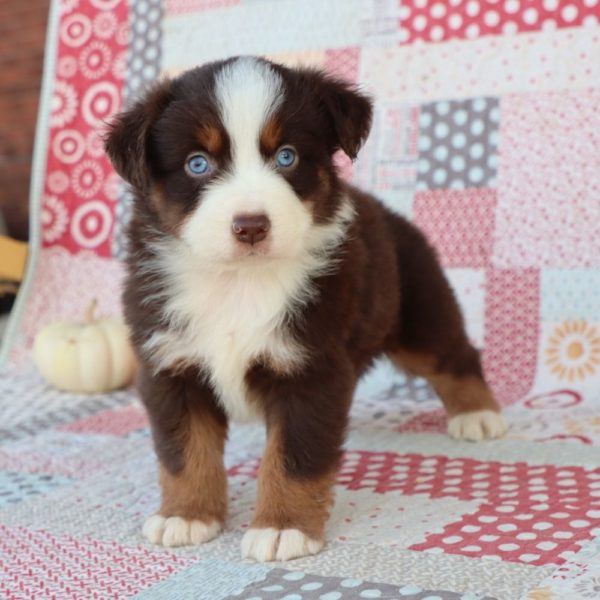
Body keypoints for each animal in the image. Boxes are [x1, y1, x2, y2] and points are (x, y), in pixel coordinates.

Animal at [104, 55, 506, 564]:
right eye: (197, 164)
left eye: (286, 157)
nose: (251, 226)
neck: (239, 283)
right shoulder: (169, 365)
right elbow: (184, 451)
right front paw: (187, 515)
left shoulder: (310, 367)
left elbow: (294, 457)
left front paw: (282, 527)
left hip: (418, 311)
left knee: (454, 354)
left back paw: (477, 415)